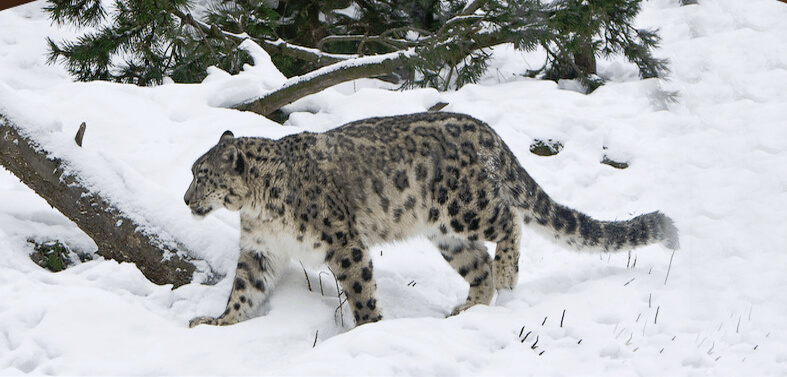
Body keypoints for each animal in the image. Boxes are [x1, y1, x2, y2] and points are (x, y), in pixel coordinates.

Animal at [183, 111, 676, 326]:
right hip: (447, 234)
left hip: (466, 205)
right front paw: (219, 322)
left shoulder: (343, 241)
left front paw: (367, 329)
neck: (259, 208)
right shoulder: (259, 249)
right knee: (478, 264)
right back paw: (468, 307)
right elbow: (244, 289)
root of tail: (483, 127)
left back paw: (508, 273)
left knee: (509, 221)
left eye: (202, 176)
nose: (187, 200)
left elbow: (359, 289)